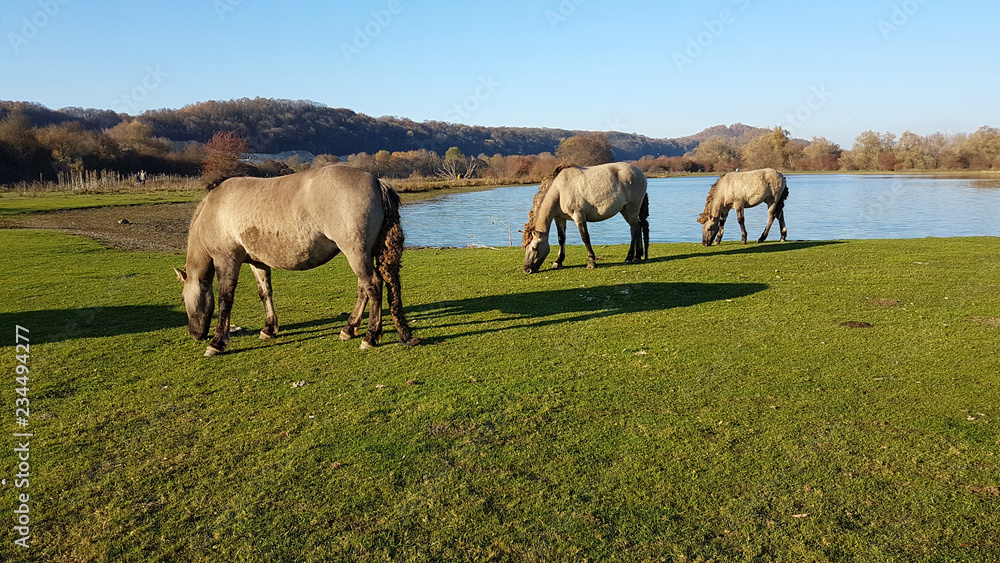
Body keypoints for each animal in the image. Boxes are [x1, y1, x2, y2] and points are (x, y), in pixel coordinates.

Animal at [174, 164, 420, 356]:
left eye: (183, 298)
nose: (195, 334)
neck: (213, 210)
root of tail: (377, 181)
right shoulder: (257, 262)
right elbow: (265, 293)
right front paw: (269, 329)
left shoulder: (227, 260)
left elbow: (226, 299)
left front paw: (217, 342)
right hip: (363, 255)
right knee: (365, 289)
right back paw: (349, 329)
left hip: (356, 254)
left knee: (373, 286)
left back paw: (369, 337)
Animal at [520, 162, 652, 274]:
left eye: (534, 247)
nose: (527, 269)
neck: (560, 190)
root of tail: (639, 172)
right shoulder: (560, 219)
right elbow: (561, 239)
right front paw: (558, 262)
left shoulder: (578, 216)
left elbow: (585, 237)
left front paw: (591, 262)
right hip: (625, 210)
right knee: (638, 226)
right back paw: (637, 256)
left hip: (631, 209)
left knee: (634, 230)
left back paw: (629, 258)